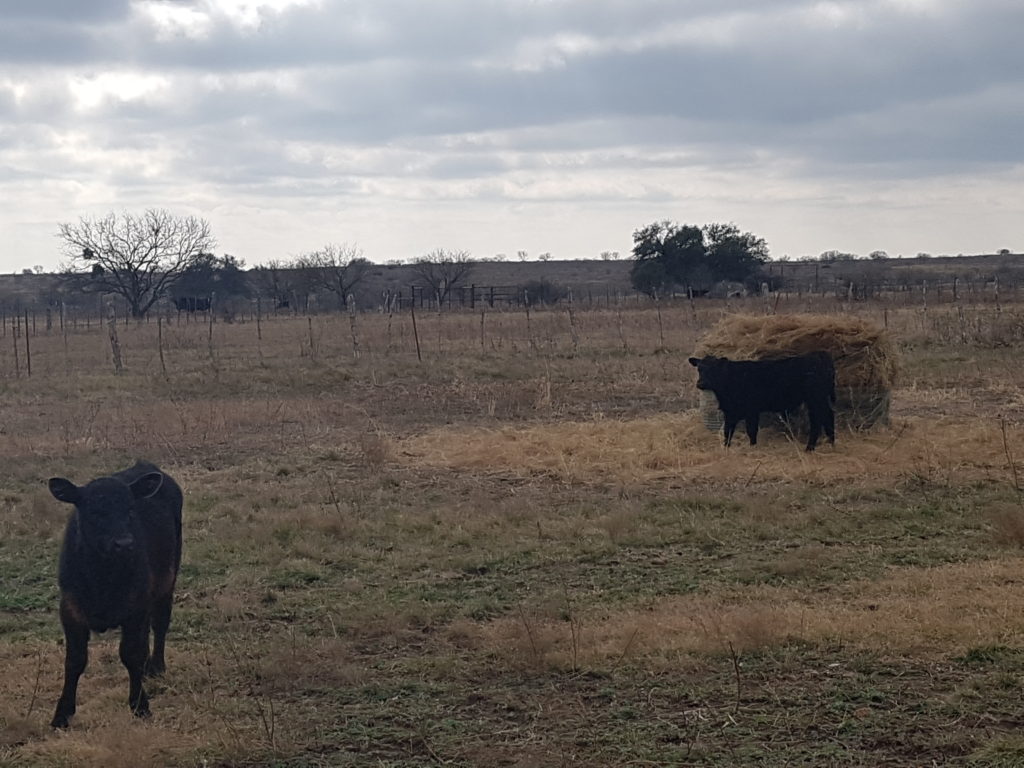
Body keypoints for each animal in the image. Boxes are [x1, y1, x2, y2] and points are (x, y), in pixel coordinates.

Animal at [47, 460, 184, 729]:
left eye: (130, 510)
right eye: (94, 512)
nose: (124, 543)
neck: (103, 580)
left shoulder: (136, 607)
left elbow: (130, 653)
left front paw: (140, 704)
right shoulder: (70, 609)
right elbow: (74, 661)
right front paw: (62, 714)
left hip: (167, 578)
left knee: (160, 624)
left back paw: (156, 666)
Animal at [692, 354, 835, 454]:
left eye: (714, 369)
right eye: (699, 369)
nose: (700, 383)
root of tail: (819, 356)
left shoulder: (751, 411)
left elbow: (751, 430)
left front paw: (753, 448)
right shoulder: (731, 412)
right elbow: (728, 432)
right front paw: (726, 449)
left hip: (815, 399)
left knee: (817, 420)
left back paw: (810, 448)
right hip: (821, 399)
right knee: (828, 417)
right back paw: (831, 443)